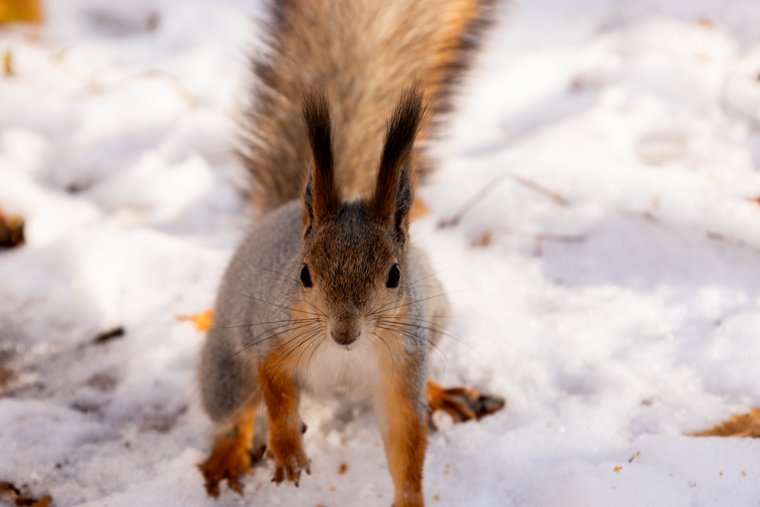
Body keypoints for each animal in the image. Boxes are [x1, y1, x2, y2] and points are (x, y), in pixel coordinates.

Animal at [196, 0, 498, 507]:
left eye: (394, 275)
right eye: (304, 275)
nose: (343, 332)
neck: (347, 357)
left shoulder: (404, 360)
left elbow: (405, 435)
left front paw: (410, 496)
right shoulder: (276, 336)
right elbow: (276, 390)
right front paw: (287, 449)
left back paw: (443, 393)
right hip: (227, 368)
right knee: (235, 410)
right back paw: (228, 456)